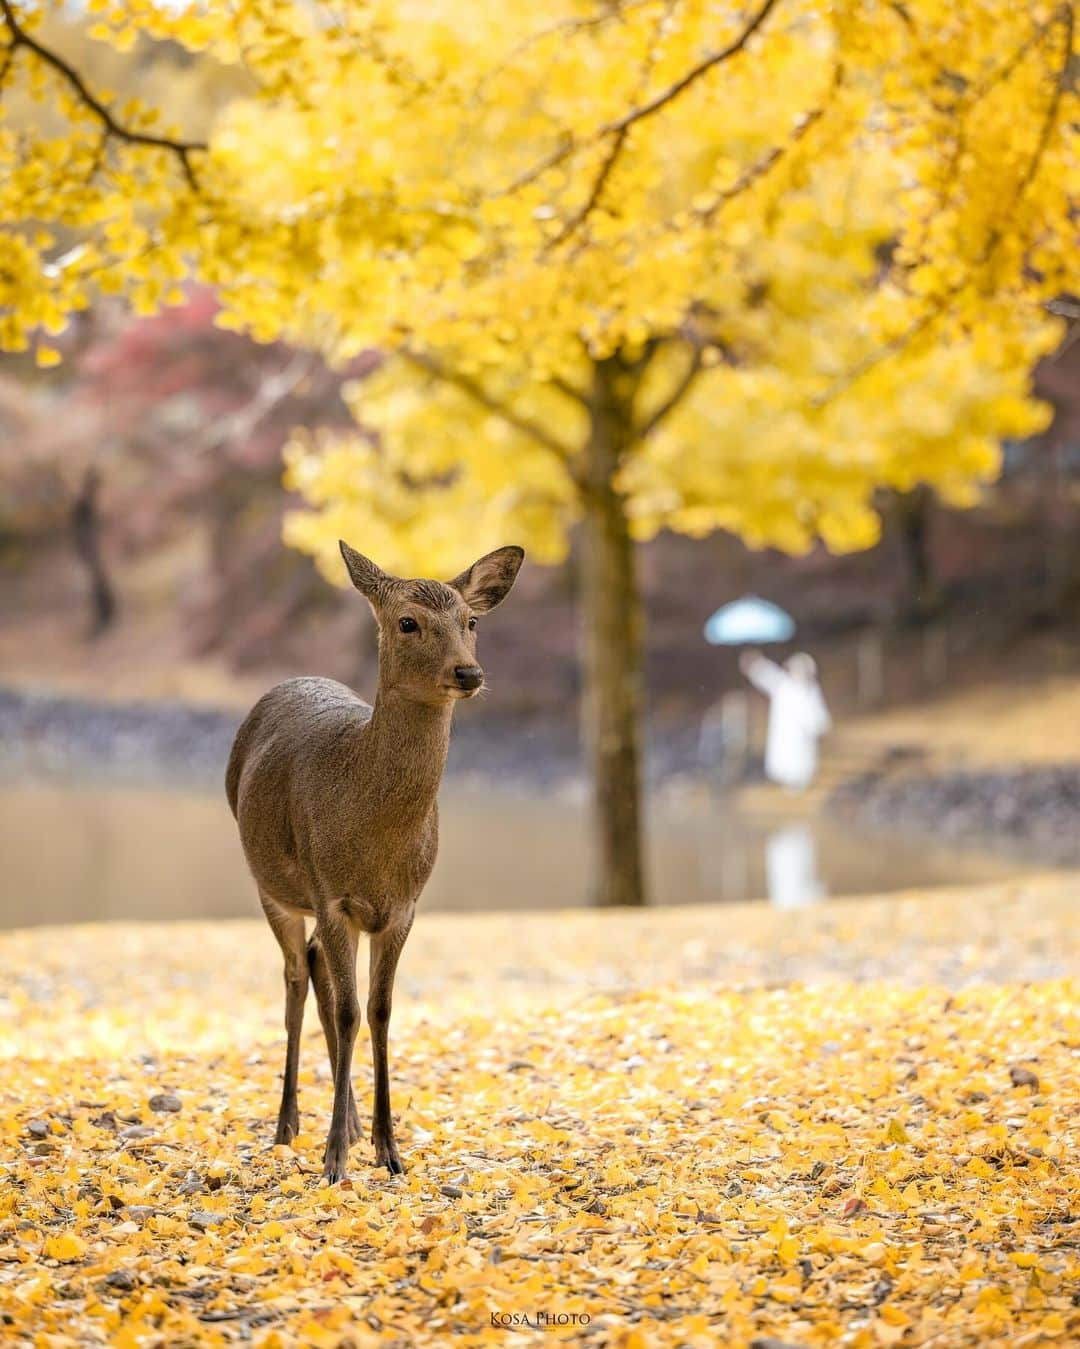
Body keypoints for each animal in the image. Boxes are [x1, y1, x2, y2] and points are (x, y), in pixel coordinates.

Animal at [229, 536, 525, 1181]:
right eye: (407, 622)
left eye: (471, 622)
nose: (469, 672)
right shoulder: (332, 893)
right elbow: (348, 1013)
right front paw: (335, 1159)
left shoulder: (403, 907)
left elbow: (380, 1010)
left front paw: (388, 1150)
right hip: (272, 887)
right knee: (296, 980)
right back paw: (288, 1127)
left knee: (317, 973)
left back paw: (352, 1124)